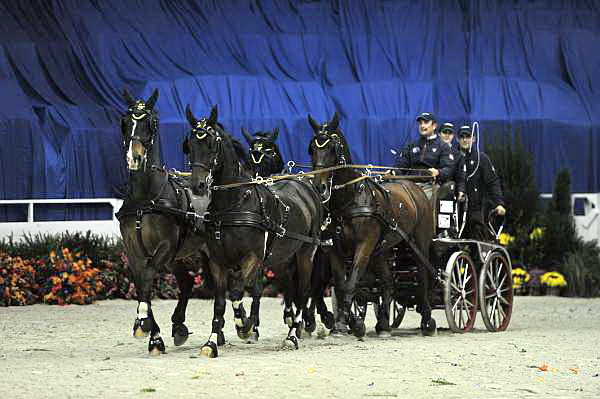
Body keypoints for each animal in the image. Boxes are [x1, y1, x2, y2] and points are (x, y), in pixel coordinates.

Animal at [116, 90, 210, 356]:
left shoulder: (165, 247)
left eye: (152, 123)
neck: (145, 200)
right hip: (174, 257)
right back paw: (178, 326)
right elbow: (142, 285)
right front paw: (154, 337)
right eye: (125, 122)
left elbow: (148, 276)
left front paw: (142, 322)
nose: (134, 158)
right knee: (186, 280)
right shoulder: (134, 252)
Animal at [185, 105, 324, 356]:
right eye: (189, 145)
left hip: (306, 254)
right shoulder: (217, 262)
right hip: (282, 258)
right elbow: (220, 304)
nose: (197, 185)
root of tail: (306, 186)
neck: (235, 203)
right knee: (290, 288)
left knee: (302, 291)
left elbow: (239, 293)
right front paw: (211, 343)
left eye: (211, 143)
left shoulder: (252, 258)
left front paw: (245, 326)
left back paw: (292, 335)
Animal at [310, 111, 436, 338]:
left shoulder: (364, 246)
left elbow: (351, 282)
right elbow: (341, 286)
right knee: (388, 281)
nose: (319, 187)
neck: (350, 199)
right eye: (312, 148)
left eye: (332, 148)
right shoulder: (335, 249)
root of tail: (414, 186)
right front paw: (342, 323)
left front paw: (352, 324)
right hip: (381, 251)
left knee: (422, 276)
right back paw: (383, 324)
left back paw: (427, 320)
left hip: (418, 244)